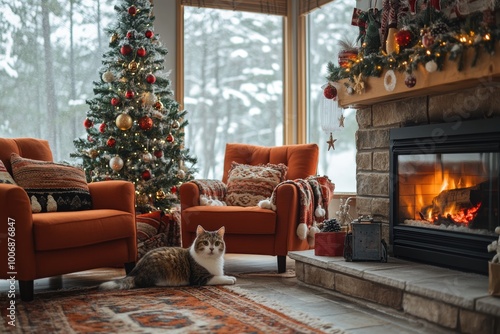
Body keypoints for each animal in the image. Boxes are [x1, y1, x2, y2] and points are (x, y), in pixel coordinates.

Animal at [100, 226, 237, 290]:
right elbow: (217, 278)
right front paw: (229, 279)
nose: (212, 248)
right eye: (205, 242)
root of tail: (134, 271)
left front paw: (229, 276)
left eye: (217, 243)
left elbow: (220, 275)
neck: (213, 261)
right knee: (142, 282)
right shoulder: (199, 277)